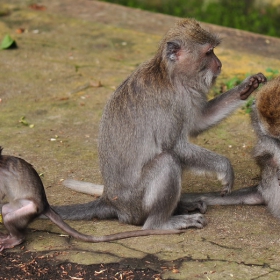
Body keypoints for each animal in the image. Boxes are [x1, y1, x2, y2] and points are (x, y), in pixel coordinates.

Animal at [53, 18, 266, 231]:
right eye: (208, 52)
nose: (219, 64)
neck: (171, 76)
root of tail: (110, 201)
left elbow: (199, 122)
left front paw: (247, 87)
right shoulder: (170, 103)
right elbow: (172, 145)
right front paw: (224, 167)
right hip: (136, 203)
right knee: (167, 161)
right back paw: (161, 223)